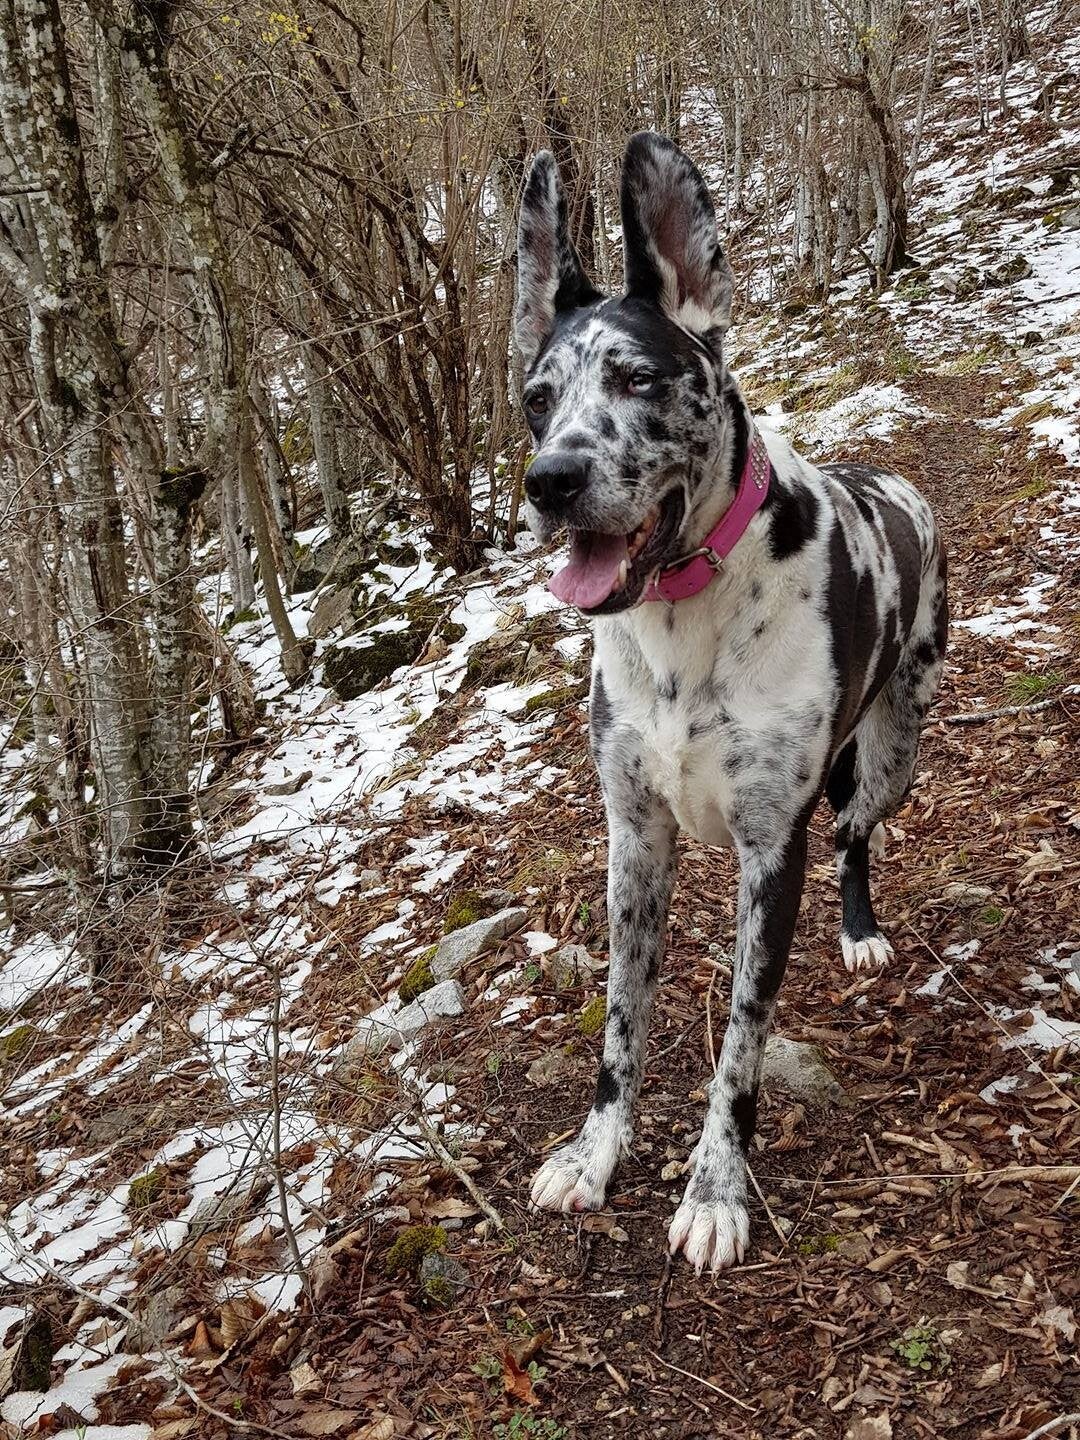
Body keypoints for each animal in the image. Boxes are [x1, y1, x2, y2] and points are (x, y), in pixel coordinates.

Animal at [513, 132, 948, 1274]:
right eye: (536, 398)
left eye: (637, 377)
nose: (549, 480)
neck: (681, 617)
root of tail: (898, 480)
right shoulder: (634, 840)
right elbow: (621, 1023)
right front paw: (595, 1154)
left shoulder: (768, 853)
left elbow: (741, 1045)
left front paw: (716, 1189)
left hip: (897, 749)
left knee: (853, 830)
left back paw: (860, 929)